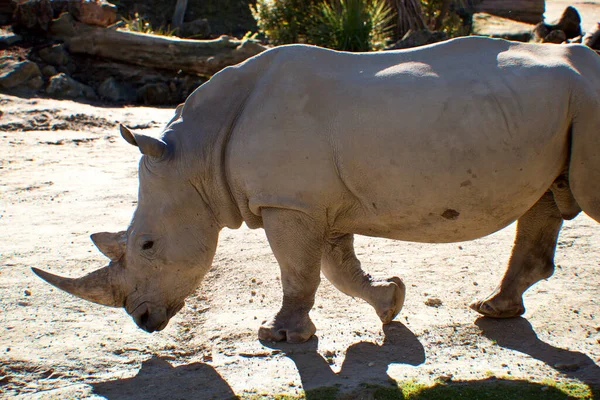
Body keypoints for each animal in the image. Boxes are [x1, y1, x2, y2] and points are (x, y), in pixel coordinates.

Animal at [34, 37, 600, 342]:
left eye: (148, 245)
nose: (143, 321)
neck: (195, 155)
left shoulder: (289, 203)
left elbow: (297, 269)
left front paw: (278, 336)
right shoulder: (314, 202)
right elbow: (335, 268)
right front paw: (391, 302)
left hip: (589, 102)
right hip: (565, 110)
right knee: (546, 199)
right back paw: (493, 310)